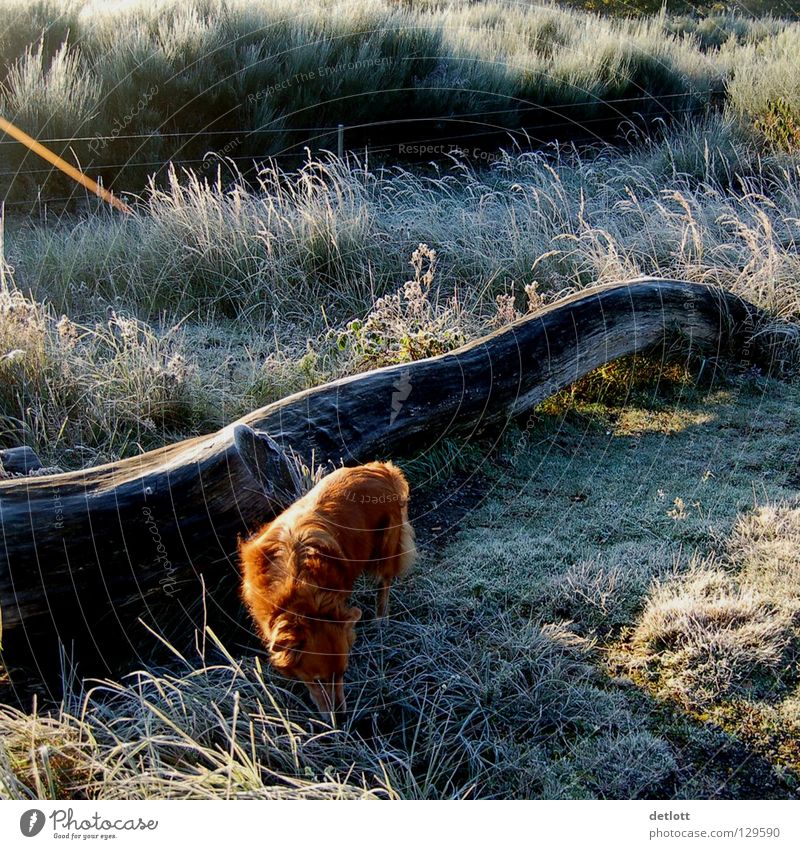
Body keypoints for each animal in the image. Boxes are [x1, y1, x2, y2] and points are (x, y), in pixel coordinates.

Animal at [238, 464, 416, 716]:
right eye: (318, 681)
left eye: (343, 673)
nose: (341, 717)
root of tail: (380, 468)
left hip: (387, 545)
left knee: (385, 583)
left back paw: (381, 619)